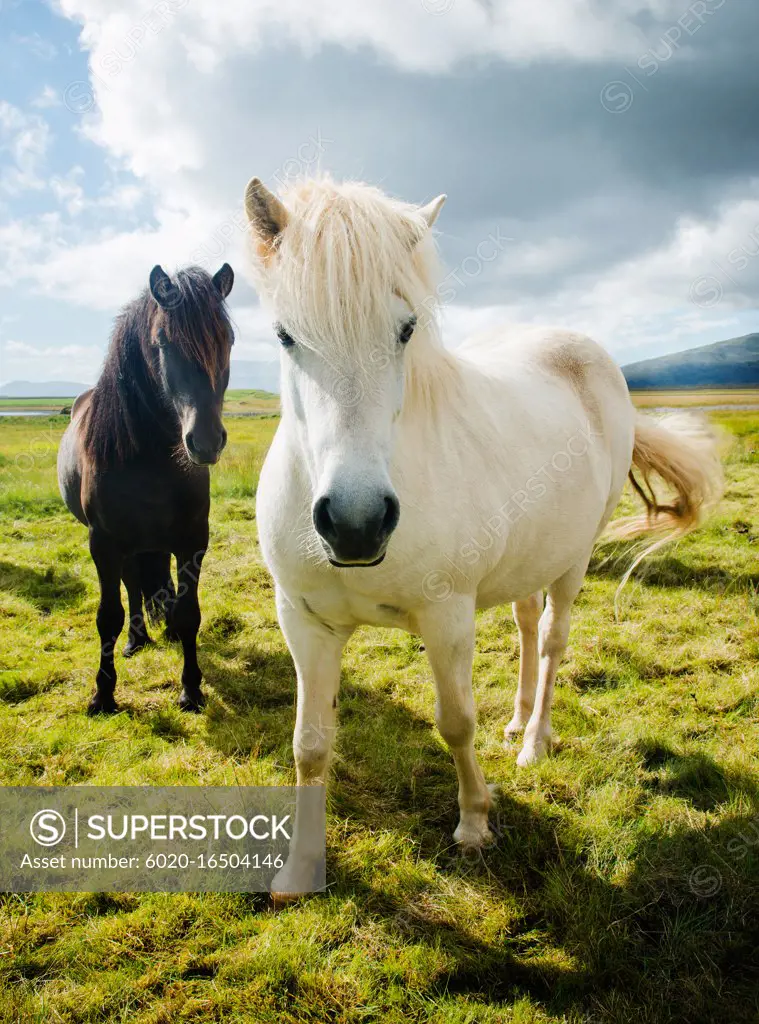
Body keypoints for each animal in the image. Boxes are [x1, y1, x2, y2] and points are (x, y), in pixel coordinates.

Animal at [57, 260, 233, 716]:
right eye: (162, 342)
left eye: (227, 339)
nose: (205, 441)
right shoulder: (103, 543)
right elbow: (108, 616)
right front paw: (103, 694)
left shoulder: (193, 539)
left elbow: (188, 612)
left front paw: (191, 689)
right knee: (132, 585)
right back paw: (136, 640)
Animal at [243, 172, 721, 892]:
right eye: (284, 336)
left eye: (406, 329)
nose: (356, 523)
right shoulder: (304, 624)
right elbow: (309, 745)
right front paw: (299, 871)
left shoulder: (447, 619)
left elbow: (455, 722)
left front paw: (474, 822)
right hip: (531, 555)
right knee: (525, 624)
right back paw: (518, 721)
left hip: (574, 559)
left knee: (550, 639)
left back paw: (534, 741)